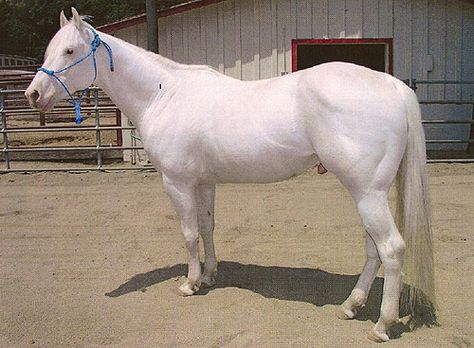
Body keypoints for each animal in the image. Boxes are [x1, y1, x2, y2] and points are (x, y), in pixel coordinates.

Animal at [25, 8, 434, 342]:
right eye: (51, 49)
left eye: (70, 51)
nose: (33, 94)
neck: (163, 94)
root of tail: (393, 86)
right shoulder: (204, 182)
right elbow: (207, 227)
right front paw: (209, 276)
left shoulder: (177, 183)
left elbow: (189, 233)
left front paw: (189, 284)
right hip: (368, 193)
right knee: (373, 250)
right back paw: (351, 306)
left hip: (367, 193)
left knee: (391, 249)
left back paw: (382, 325)